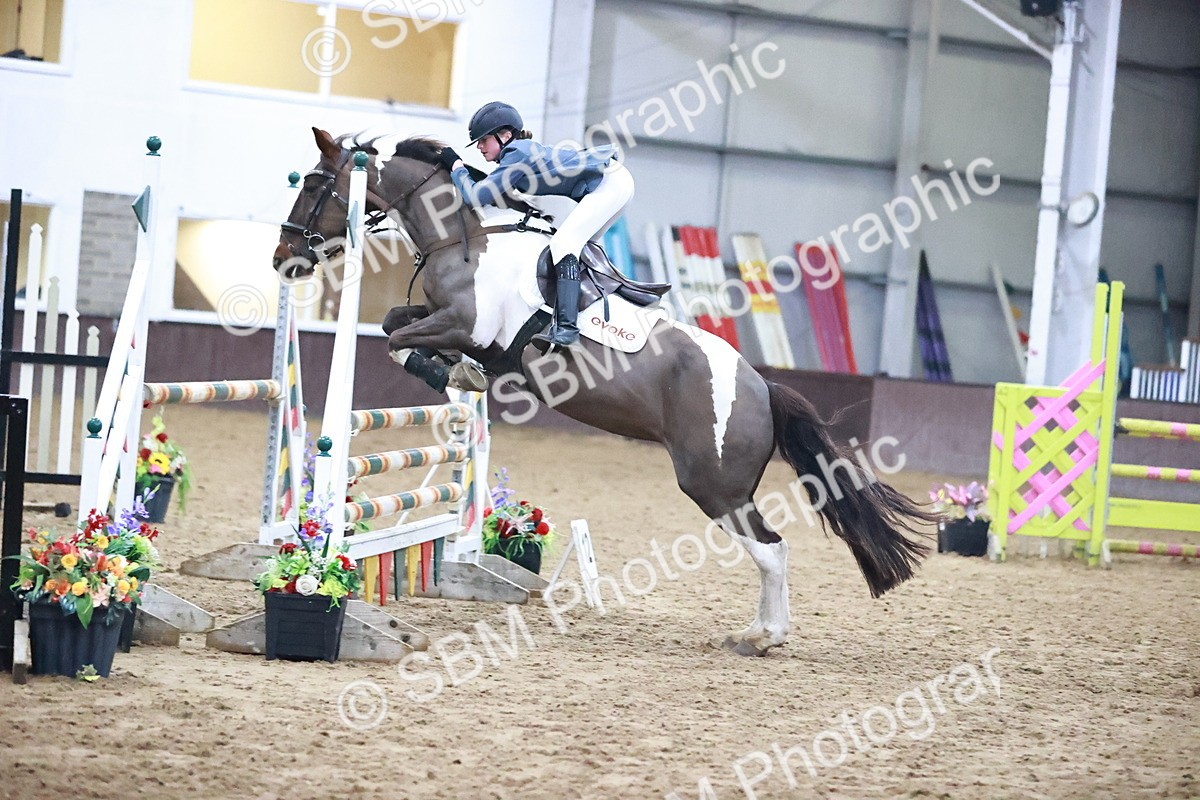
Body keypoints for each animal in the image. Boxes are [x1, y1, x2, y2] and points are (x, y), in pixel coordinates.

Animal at [274, 128, 938, 656]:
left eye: (315, 183)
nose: (284, 258)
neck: (463, 240)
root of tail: (762, 386)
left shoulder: (465, 324)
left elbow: (399, 338)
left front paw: (456, 374)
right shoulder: (443, 319)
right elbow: (393, 324)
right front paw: (460, 375)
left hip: (712, 482)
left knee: (771, 549)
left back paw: (762, 637)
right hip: (726, 484)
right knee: (769, 548)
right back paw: (758, 632)